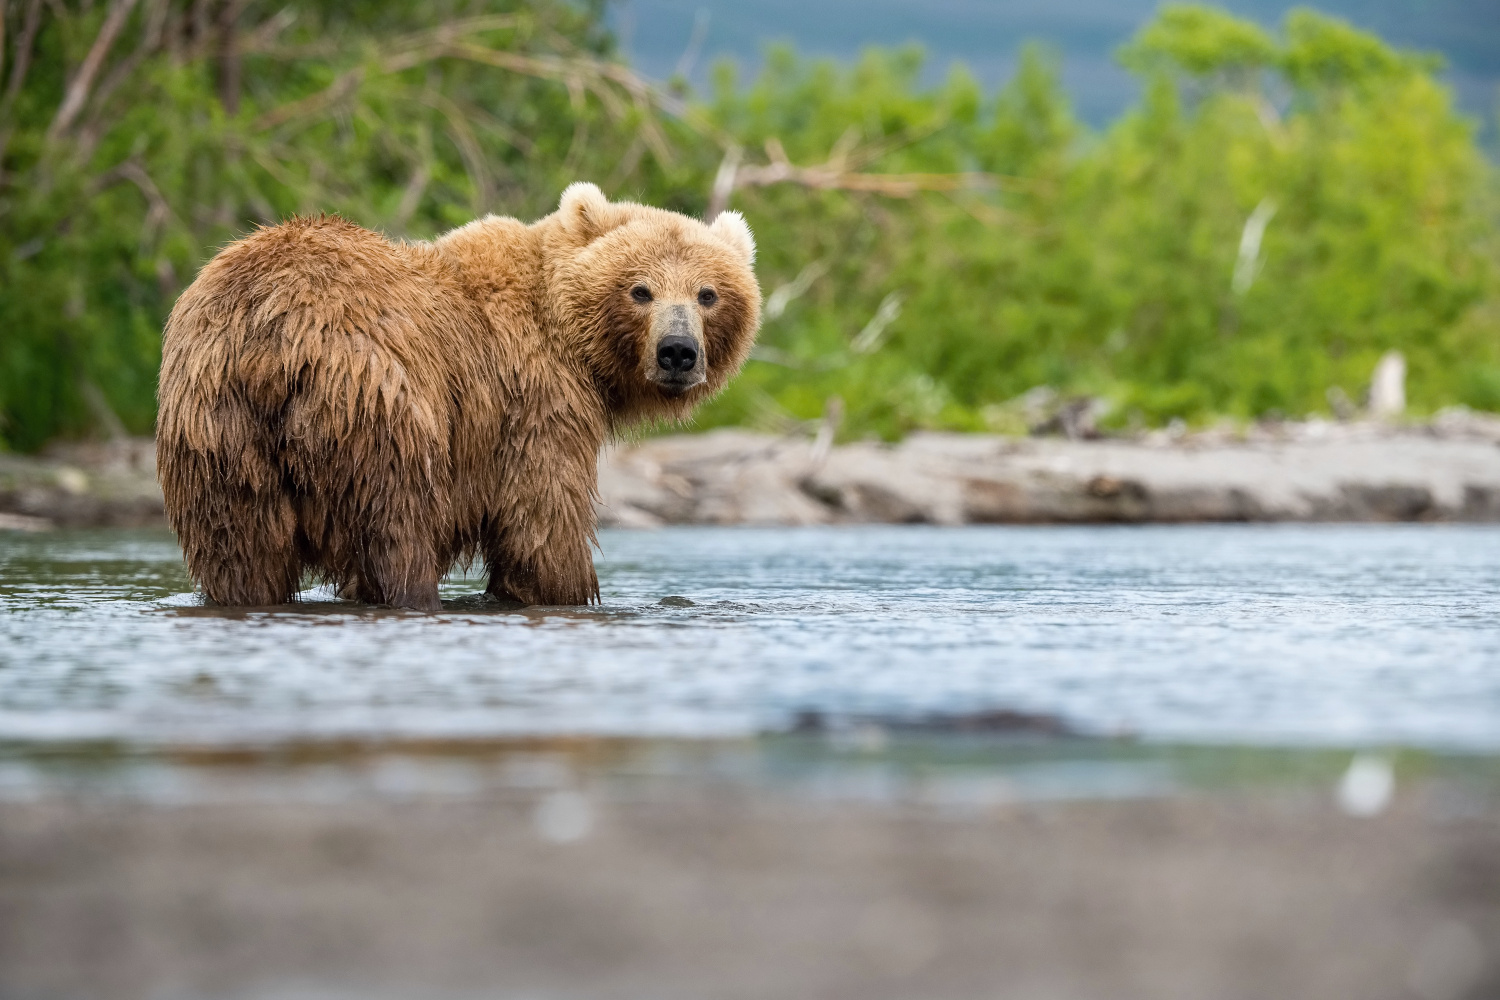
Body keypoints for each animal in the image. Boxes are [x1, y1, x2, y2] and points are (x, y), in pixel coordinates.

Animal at [156, 183, 762, 614]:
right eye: (640, 289)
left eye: (707, 294)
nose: (678, 352)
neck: (572, 342)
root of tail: (271, 333)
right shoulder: (534, 400)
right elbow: (541, 520)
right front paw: (565, 590)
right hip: (377, 401)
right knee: (396, 526)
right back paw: (412, 593)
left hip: (215, 429)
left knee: (240, 550)